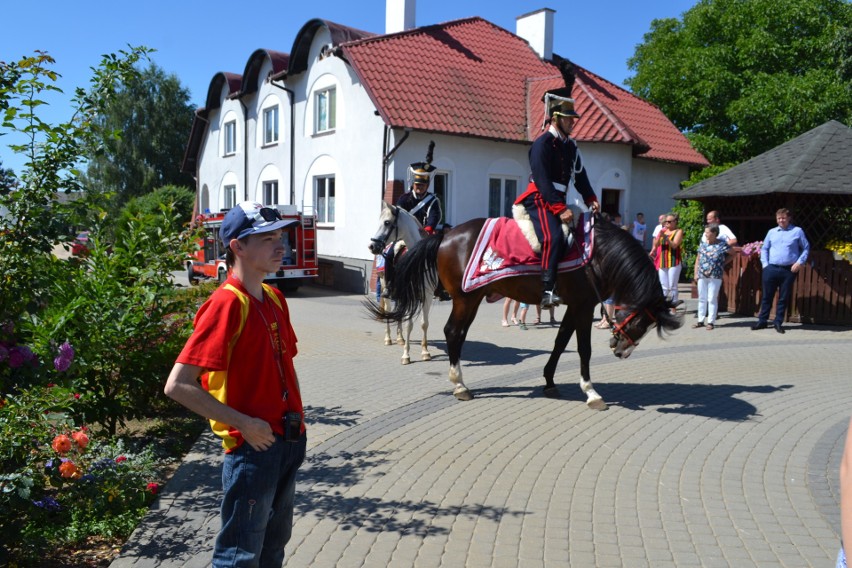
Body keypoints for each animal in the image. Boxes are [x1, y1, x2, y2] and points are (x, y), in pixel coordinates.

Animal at [368, 202, 432, 366]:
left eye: (387, 222)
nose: (372, 246)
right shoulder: (411, 295)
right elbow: (409, 324)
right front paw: (406, 356)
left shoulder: (427, 296)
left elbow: (424, 323)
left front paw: (425, 352)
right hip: (386, 287)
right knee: (389, 310)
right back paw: (389, 339)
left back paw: (400, 338)